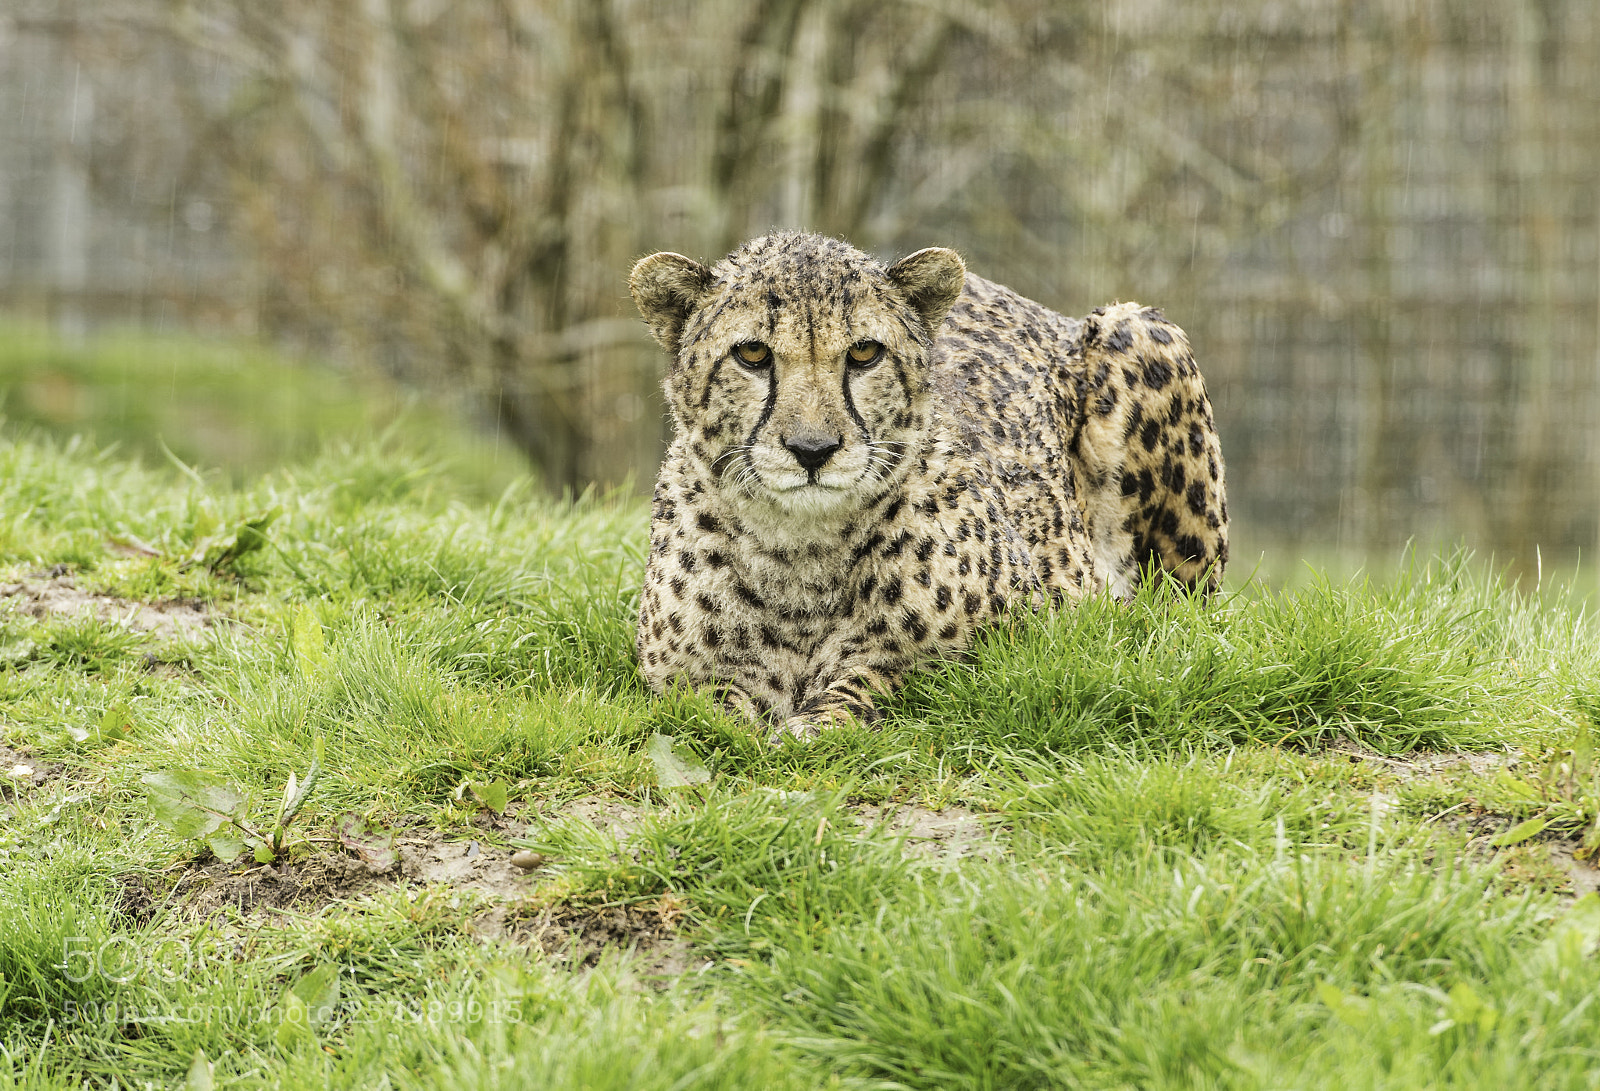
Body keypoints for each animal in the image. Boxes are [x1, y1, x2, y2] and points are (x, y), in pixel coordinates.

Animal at [629, 231, 1227, 742]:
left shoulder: (1019, 642)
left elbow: (882, 675)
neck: (803, 556)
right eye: (752, 354)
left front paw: (817, 722)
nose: (813, 449)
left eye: (865, 353)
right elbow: (706, 706)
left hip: (1141, 334)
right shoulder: (679, 677)